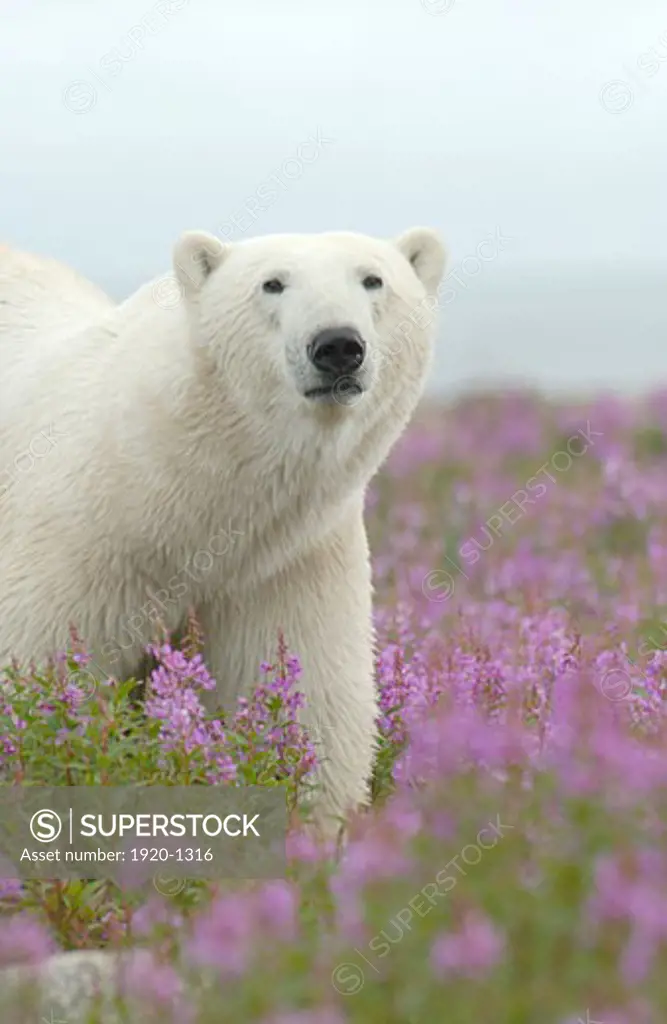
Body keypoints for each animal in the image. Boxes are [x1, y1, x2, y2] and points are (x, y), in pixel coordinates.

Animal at [1, 228, 448, 827]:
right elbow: (36, 672)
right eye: (273, 283)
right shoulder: (78, 542)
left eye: (373, 279)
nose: (337, 345)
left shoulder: (282, 561)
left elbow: (310, 700)